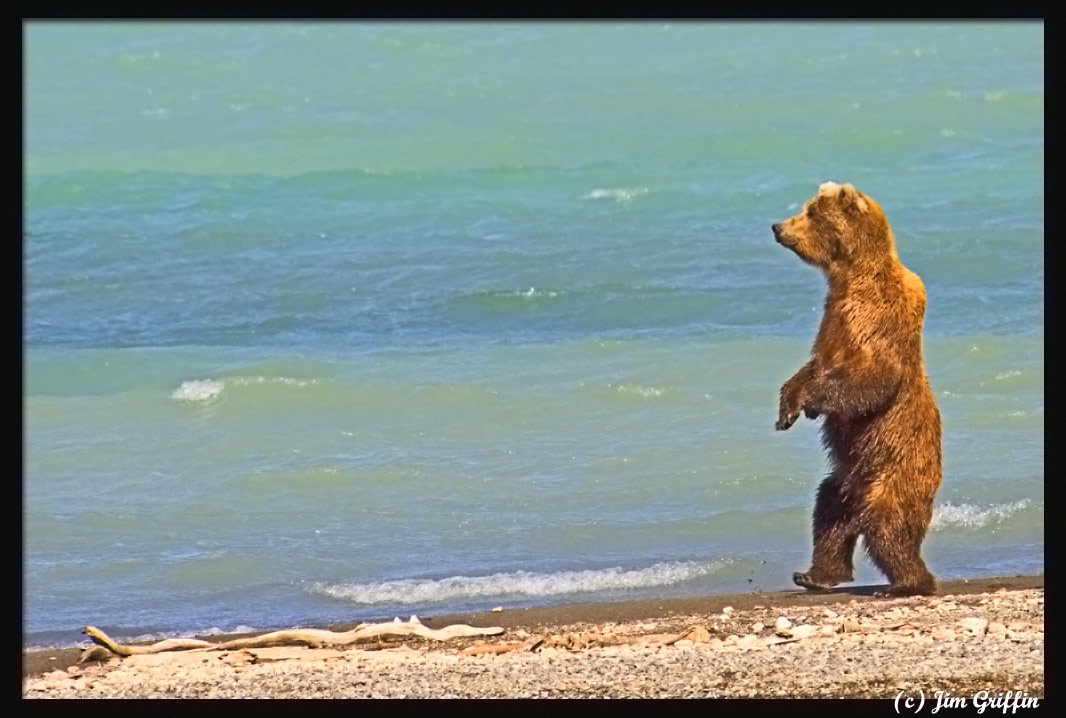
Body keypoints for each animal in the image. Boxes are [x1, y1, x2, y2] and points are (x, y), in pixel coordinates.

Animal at [776, 182, 942, 596]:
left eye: (809, 212)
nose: (777, 227)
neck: (851, 275)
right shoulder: (832, 315)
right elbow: (815, 363)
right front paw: (786, 406)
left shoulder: (874, 317)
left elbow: (873, 377)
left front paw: (807, 402)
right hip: (846, 481)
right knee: (829, 515)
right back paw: (814, 575)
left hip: (893, 475)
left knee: (888, 529)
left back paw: (907, 583)